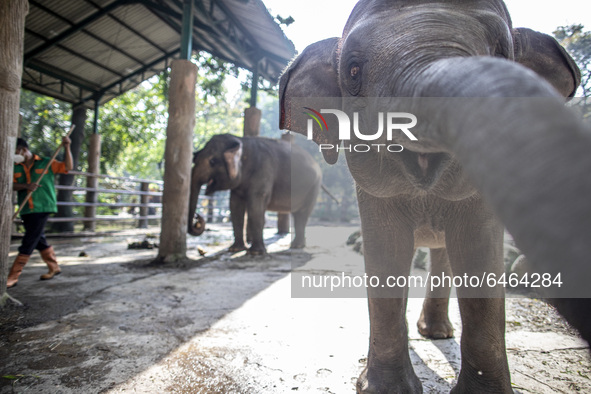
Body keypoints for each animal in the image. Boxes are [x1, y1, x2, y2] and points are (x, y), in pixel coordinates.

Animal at [187, 133, 322, 255]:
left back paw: (297, 246)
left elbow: (255, 208)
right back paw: (297, 245)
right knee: (298, 214)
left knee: (302, 213)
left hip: (314, 186)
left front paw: (255, 253)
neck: (241, 141)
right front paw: (235, 249)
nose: (197, 218)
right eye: (195, 159)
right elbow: (235, 207)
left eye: (212, 161)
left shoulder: (263, 171)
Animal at [278, 1, 591, 392]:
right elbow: (387, 250)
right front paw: (385, 389)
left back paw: (438, 334)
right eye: (352, 71)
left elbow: (478, 252)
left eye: (503, 53)